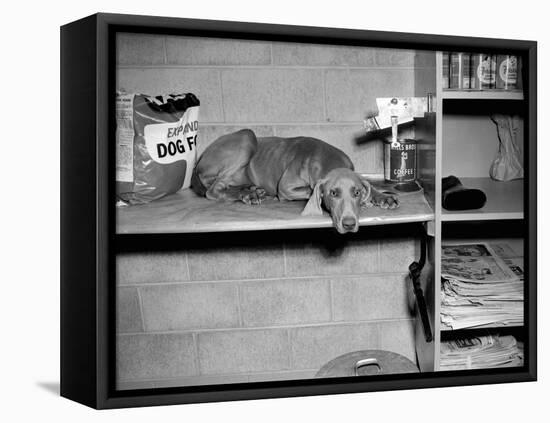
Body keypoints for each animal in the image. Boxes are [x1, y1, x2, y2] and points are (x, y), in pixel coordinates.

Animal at [192, 129, 398, 235]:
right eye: (333, 193)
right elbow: (310, 189)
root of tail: (199, 162)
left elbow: (369, 184)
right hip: (247, 137)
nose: (349, 224)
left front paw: (382, 197)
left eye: (356, 192)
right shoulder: (285, 188)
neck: (327, 159)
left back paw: (249, 190)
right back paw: (248, 194)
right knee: (213, 189)